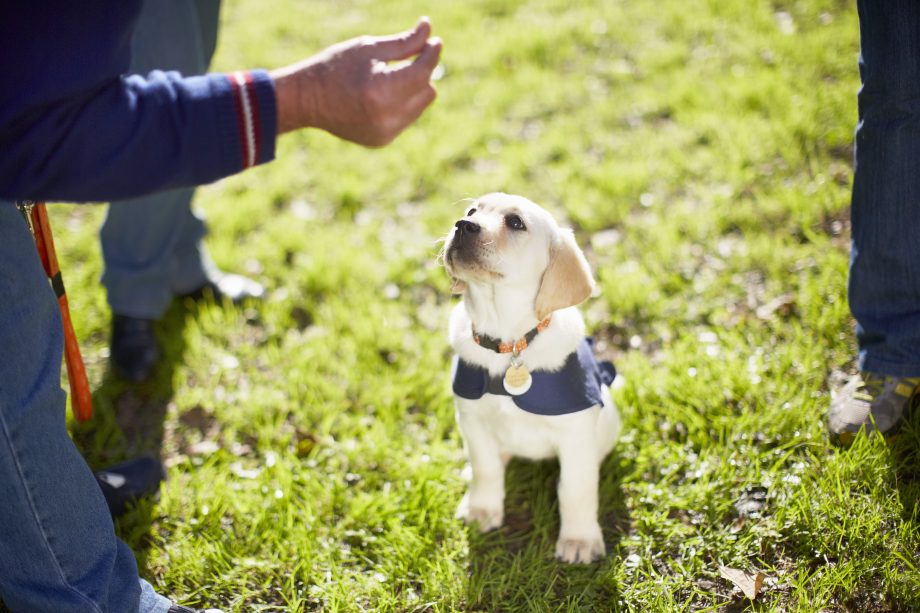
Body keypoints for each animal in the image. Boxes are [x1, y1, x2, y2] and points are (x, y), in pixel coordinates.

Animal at [444, 192, 620, 564]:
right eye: (472, 211)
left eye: (515, 222)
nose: (462, 225)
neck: (508, 341)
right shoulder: (472, 419)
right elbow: (486, 467)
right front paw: (483, 509)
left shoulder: (575, 434)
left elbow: (576, 488)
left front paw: (579, 540)